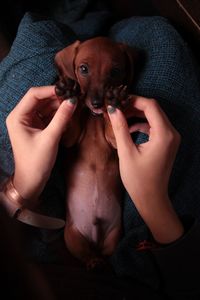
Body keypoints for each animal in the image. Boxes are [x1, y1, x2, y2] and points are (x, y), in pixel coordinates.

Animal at [54, 36, 137, 268]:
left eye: (115, 71)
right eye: (83, 69)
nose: (99, 103)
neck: (93, 118)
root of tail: (95, 237)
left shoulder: (114, 140)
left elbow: (112, 125)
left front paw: (114, 101)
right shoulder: (70, 138)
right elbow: (71, 121)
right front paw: (67, 94)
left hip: (114, 236)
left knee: (106, 254)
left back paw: (99, 262)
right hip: (72, 236)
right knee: (86, 254)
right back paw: (93, 261)